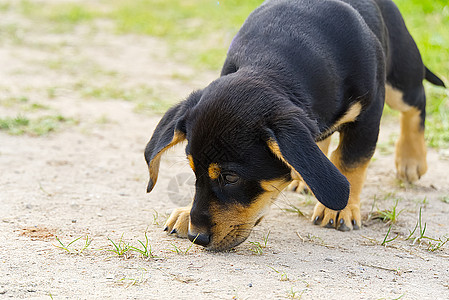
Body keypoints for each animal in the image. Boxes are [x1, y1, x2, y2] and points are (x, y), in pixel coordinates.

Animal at [144, 0, 444, 252]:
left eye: (230, 177)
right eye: (193, 171)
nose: (197, 237)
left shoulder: (368, 115)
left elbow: (351, 162)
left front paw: (340, 210)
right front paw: (186, 212)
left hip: (400, 80)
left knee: (417, 102)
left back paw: (411, 160)